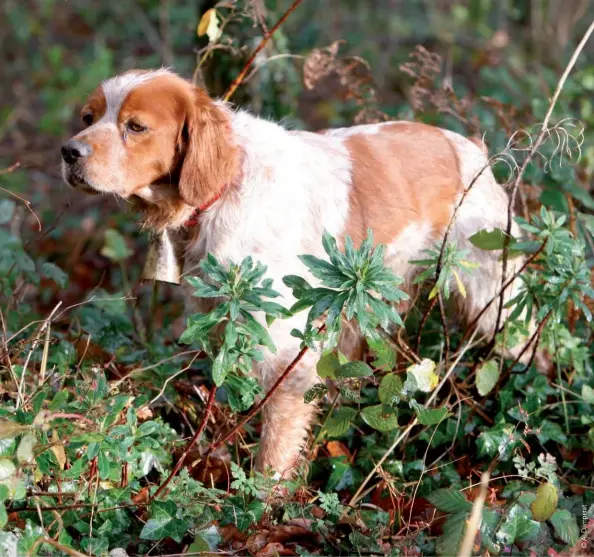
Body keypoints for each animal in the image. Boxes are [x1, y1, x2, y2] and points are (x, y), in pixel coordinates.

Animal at [62, 68, 540, 478]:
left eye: (136, 126)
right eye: (88, 118)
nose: (69, 151)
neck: (226, 187)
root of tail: (472, 149)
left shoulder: (286, 352)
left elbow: (274, 446)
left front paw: (263, 501)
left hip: (491, 300)